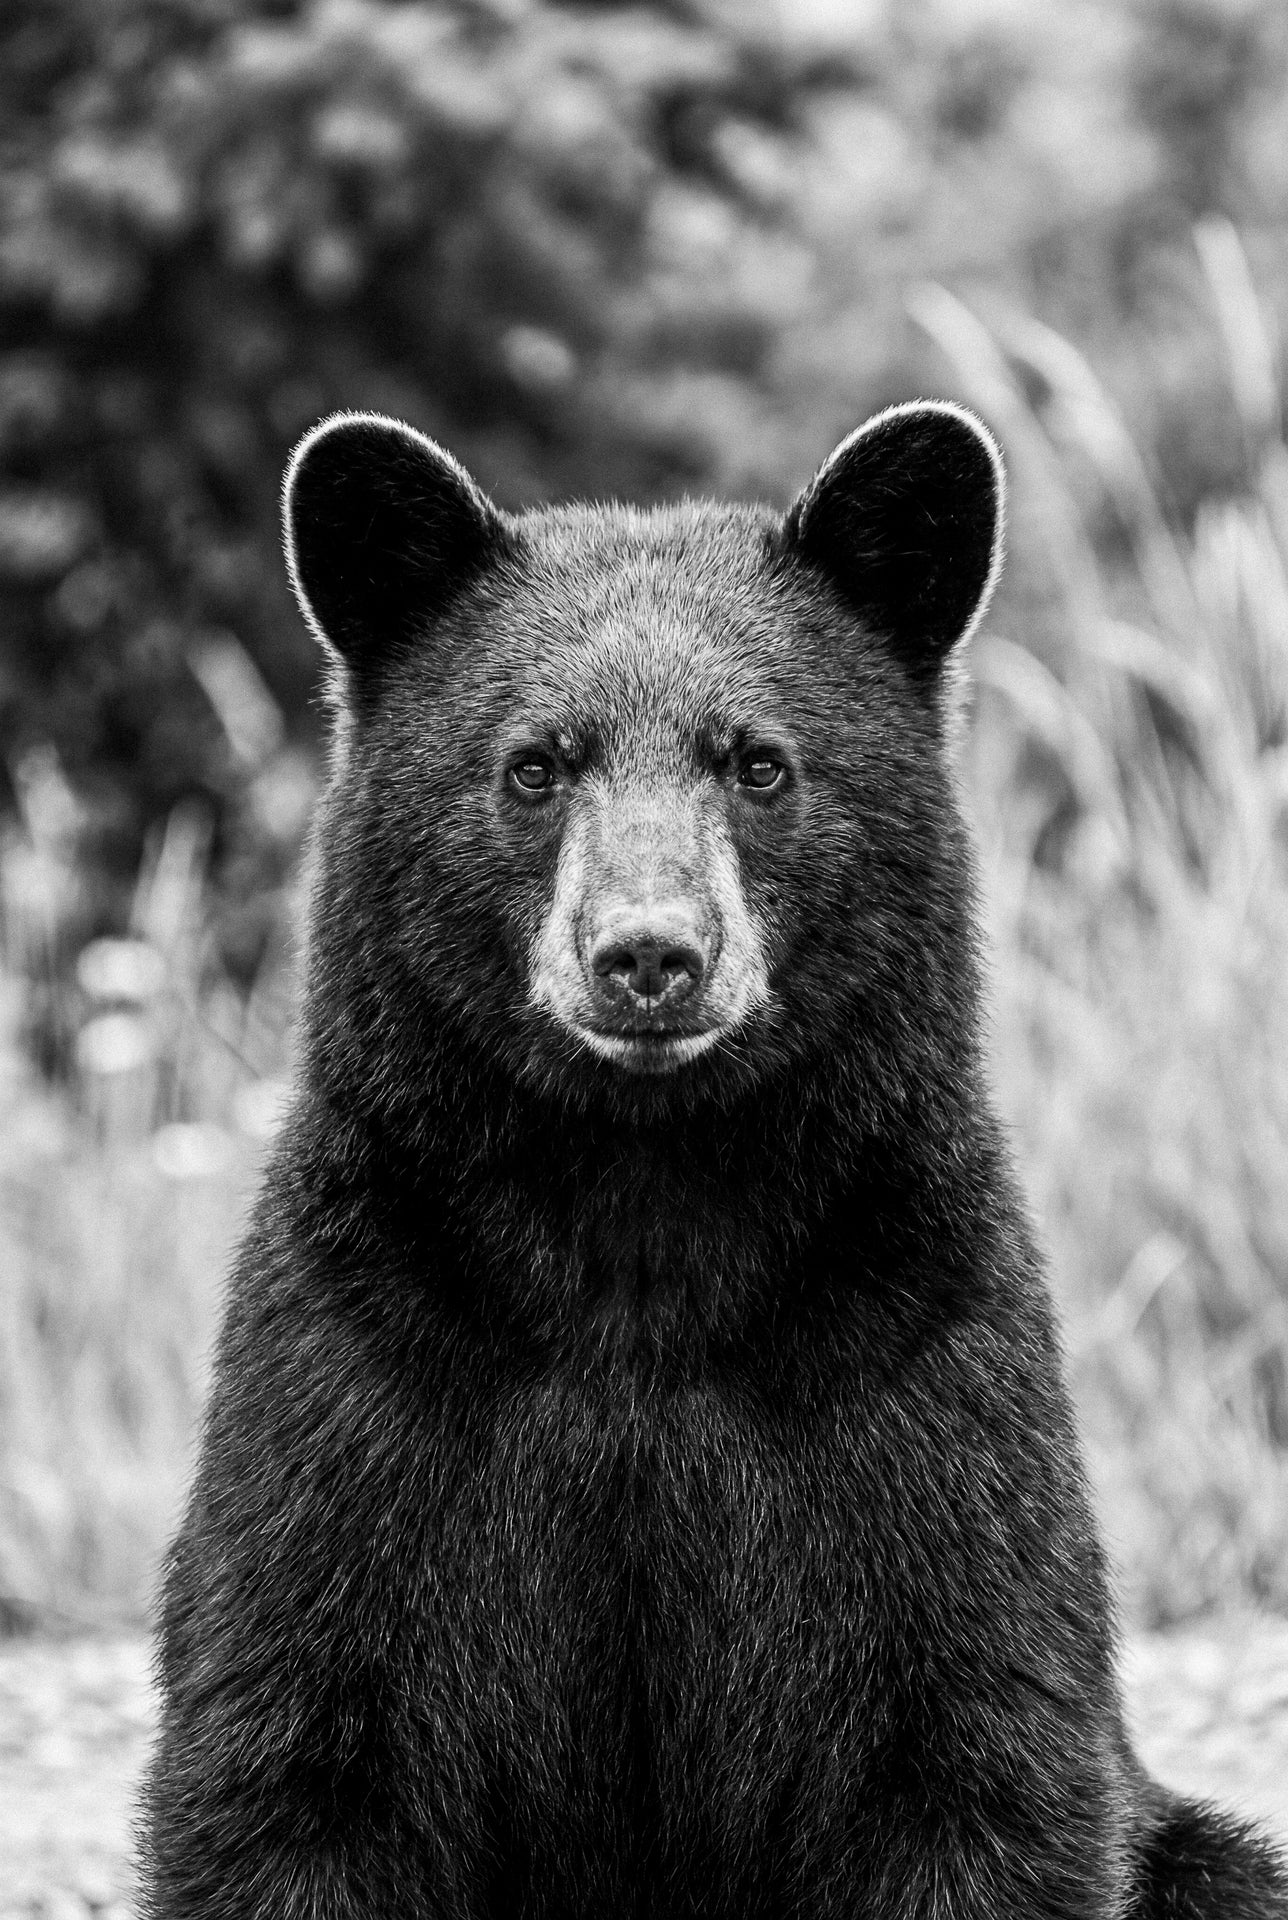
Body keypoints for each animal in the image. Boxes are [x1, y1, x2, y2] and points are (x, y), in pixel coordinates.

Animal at [139, 401, 1288, 1919]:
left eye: (758, 762)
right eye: (534, 764)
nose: (647, 955)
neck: (645, 1216)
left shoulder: (917, 1370)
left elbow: (976, 1743)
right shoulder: (360, 1372)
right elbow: (291, 1762)